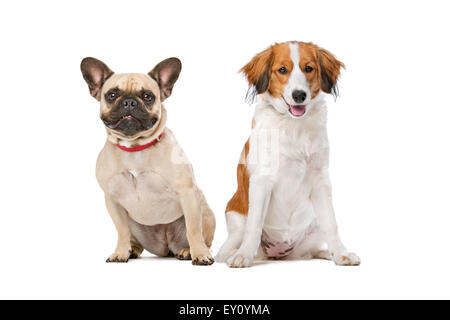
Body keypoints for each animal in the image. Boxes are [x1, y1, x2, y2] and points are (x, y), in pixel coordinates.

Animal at [81, 57, 215, 264]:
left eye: (147, 96)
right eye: (112, 95)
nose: (129, 102)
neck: (134, 147)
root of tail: (166, 248)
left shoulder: (187, 193)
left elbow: (193, 229)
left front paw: (200, 255)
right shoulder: (112, 200)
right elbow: (121, 231)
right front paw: (121, 252)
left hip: (206, 213)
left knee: (199, 235)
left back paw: (188, 251)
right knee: (131, 237)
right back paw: (131, 250)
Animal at [216, 42, 360, 268]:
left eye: (309, 68)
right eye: (282, 70)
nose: (299, 95)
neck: (294, 125)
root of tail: (279, 253)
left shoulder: (320, 179)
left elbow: (331, 223)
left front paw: (341, 253)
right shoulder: (262, 181)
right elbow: (255, 225)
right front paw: (243, 255)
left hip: (312, 226)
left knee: (311, 250)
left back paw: (327, 253)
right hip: (236, 221)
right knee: (224, 251)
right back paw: (237, 253)